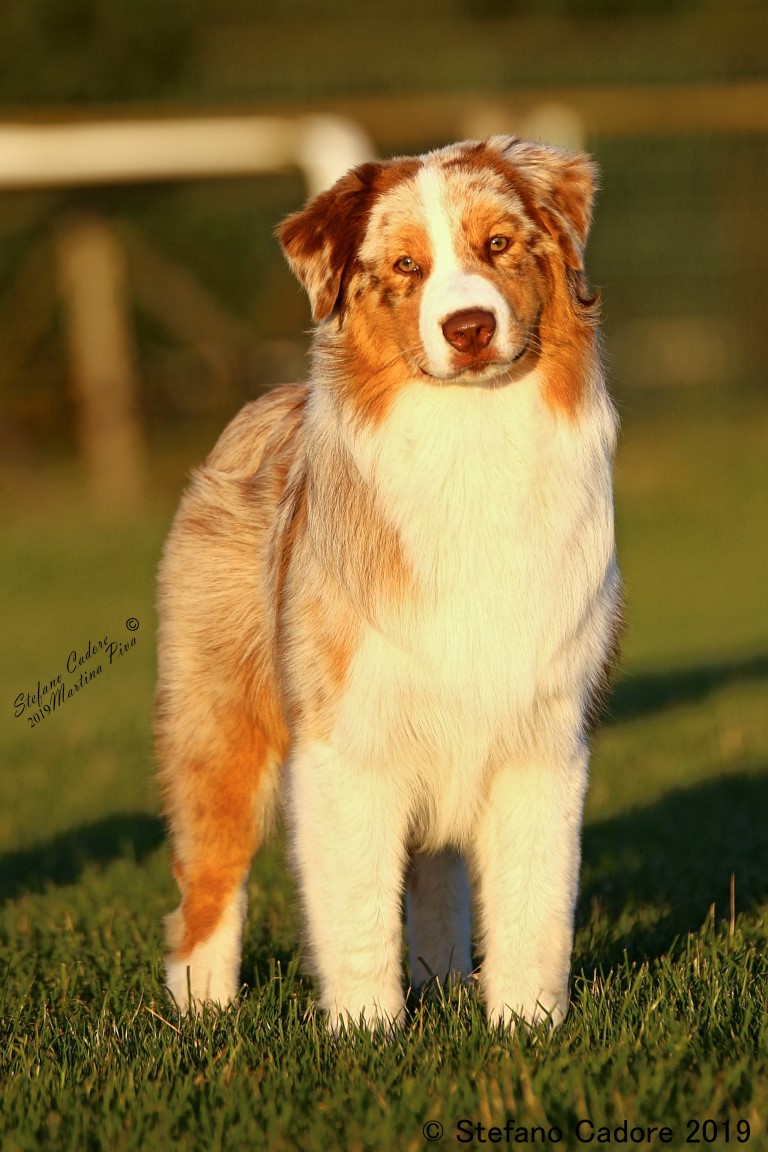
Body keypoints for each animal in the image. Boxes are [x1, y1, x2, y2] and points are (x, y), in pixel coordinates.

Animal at [156, 134, 626, 1036]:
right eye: (407, 265)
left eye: (499, 245)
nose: (469, 326)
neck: (472, 444)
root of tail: (262, 402)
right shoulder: (350, 740)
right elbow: (357, 908)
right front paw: (367, 1034)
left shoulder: (541, 736)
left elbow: (534, 905)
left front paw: (527, 1028)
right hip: (223, 722)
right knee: (211, 879)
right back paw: (202, 1011)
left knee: (438, 870)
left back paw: (442, 980)